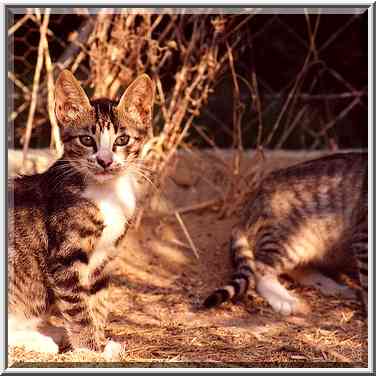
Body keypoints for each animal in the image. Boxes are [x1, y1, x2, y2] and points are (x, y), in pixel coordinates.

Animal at [9, 69, 156, 354]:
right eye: (87, 140)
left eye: (122, 140)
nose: (105, 161)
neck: (107, 193)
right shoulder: (64, 258)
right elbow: (78, 306)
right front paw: (92, 348)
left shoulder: (106, 257)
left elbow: (97, 302)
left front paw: (101, 341)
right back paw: (42, 340)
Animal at [203, 152, 368, 314]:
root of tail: (248, 207)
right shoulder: (363, 235)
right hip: (292, 238)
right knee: (260, 270)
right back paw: (284, 299)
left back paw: (335, 287)